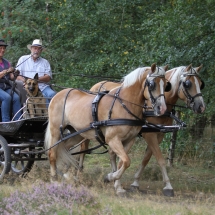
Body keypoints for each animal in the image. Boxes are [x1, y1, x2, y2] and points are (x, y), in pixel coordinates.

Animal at [44, 62, 169, 190]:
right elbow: (127, 161)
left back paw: (66, 175)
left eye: (166, 85)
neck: (124, 104)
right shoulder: (112, 139)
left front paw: (117, 185)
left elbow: (122, 162)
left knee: (63, 149)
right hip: (56, 131)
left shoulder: (129, 140)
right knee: (52, 154)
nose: (162, 108)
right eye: (152, 84)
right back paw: (54, 180)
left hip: (77, 134)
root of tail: (58, 95)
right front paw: (110, 177)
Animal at [88, 63, 205, 197]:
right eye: (187, 84)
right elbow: (160, 159)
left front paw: (134, 183)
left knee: (112, 153)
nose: (201, 107)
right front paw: (168, 186)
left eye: (200, 83)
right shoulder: (149, 135)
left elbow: (146, 159)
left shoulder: (158, 135)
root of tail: (97, 85)